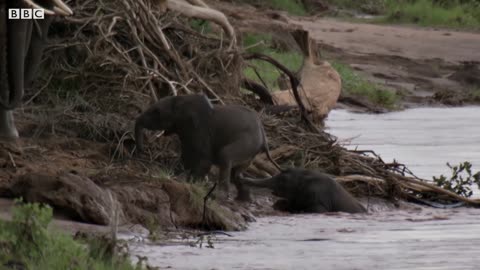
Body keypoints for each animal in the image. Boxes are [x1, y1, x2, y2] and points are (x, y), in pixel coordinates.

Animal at [133, 94, 282, 201]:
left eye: (156, 112)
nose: (142, 151)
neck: (181, 99)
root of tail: (264, 136)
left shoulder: (198, 129)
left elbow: (203, 159)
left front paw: (191, 183)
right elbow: (186, 157)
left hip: (247, 142)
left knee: (225, 156)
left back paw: (220, 196)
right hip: (250, 151)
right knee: (237, 173)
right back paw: (243, 199)